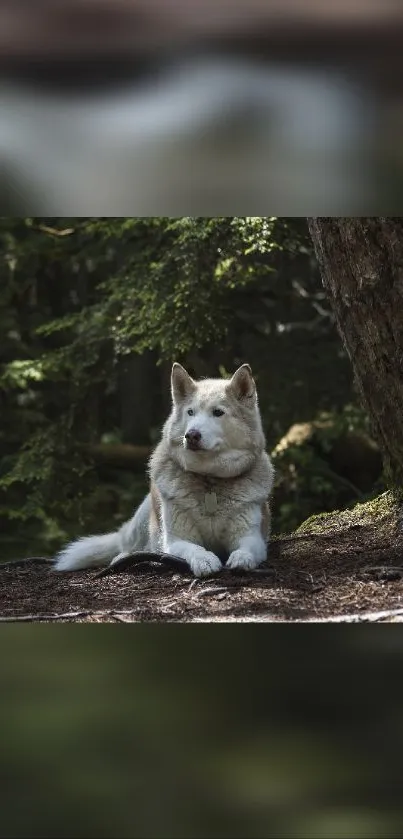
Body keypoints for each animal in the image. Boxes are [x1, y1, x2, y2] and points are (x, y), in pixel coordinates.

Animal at [54, 360, 274, 576]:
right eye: (190, 412)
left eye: (218, 412)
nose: (191, 435)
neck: (209, 479)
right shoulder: (175, 540)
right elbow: (194, 548)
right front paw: (204, 560)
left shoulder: (252, 537)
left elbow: (247, 549)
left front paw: (242, 559)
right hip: (143, 519)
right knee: (128, 546)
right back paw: (123, 557)